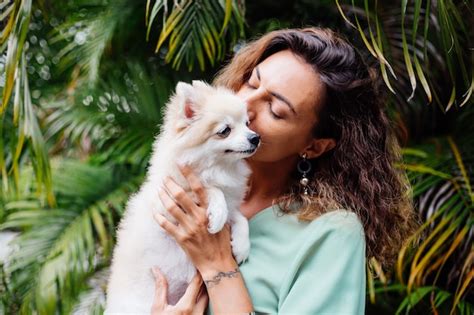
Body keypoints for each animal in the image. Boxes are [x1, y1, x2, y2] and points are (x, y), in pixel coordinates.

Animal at [105, 81, 260, 314]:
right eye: (225, 131)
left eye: (248, 124)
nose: (255, 137)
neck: (217, 169)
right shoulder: (166, 205)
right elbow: (211, 190)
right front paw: (218, 214)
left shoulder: (231, 204)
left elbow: (240, 217)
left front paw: (241, 245)